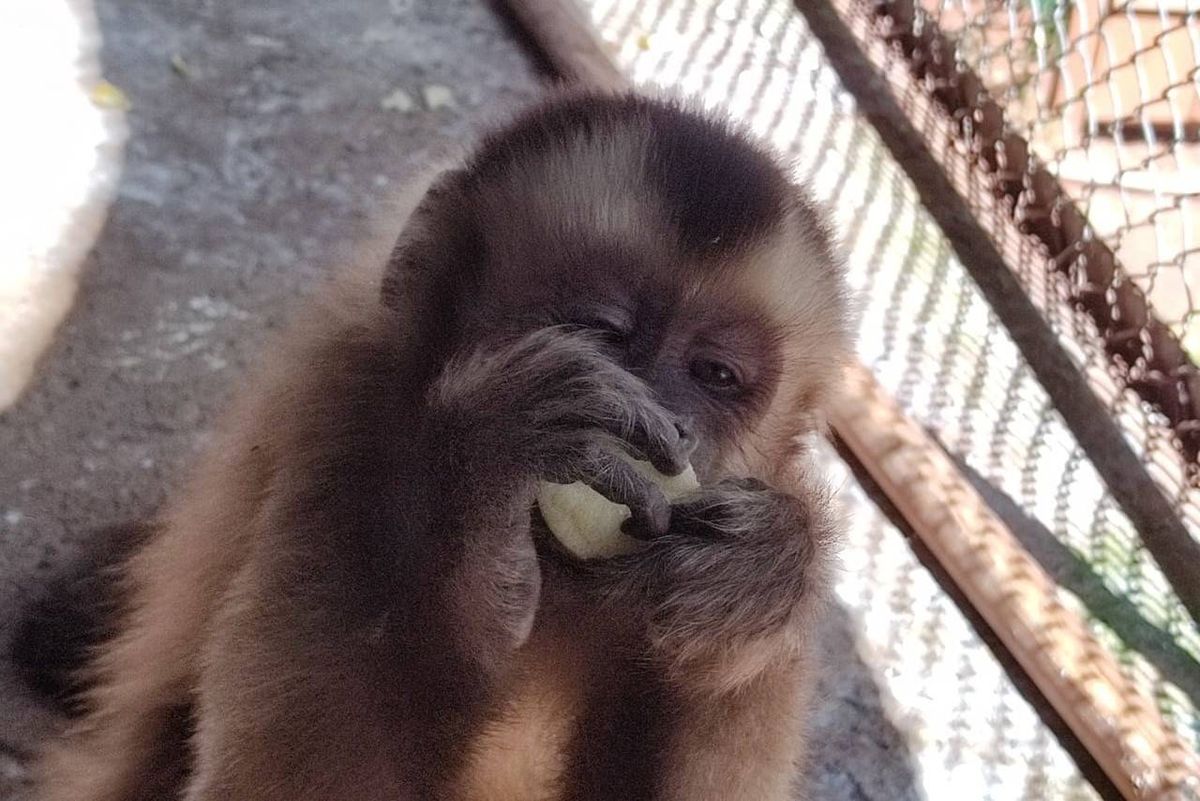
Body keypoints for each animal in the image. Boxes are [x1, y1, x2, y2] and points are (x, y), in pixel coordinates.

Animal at [13, 89, 850, 801]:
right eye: (601, 327)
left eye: (716, 375)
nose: (673, 425)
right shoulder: (346, 414)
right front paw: (479, 482)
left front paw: (766, 563)